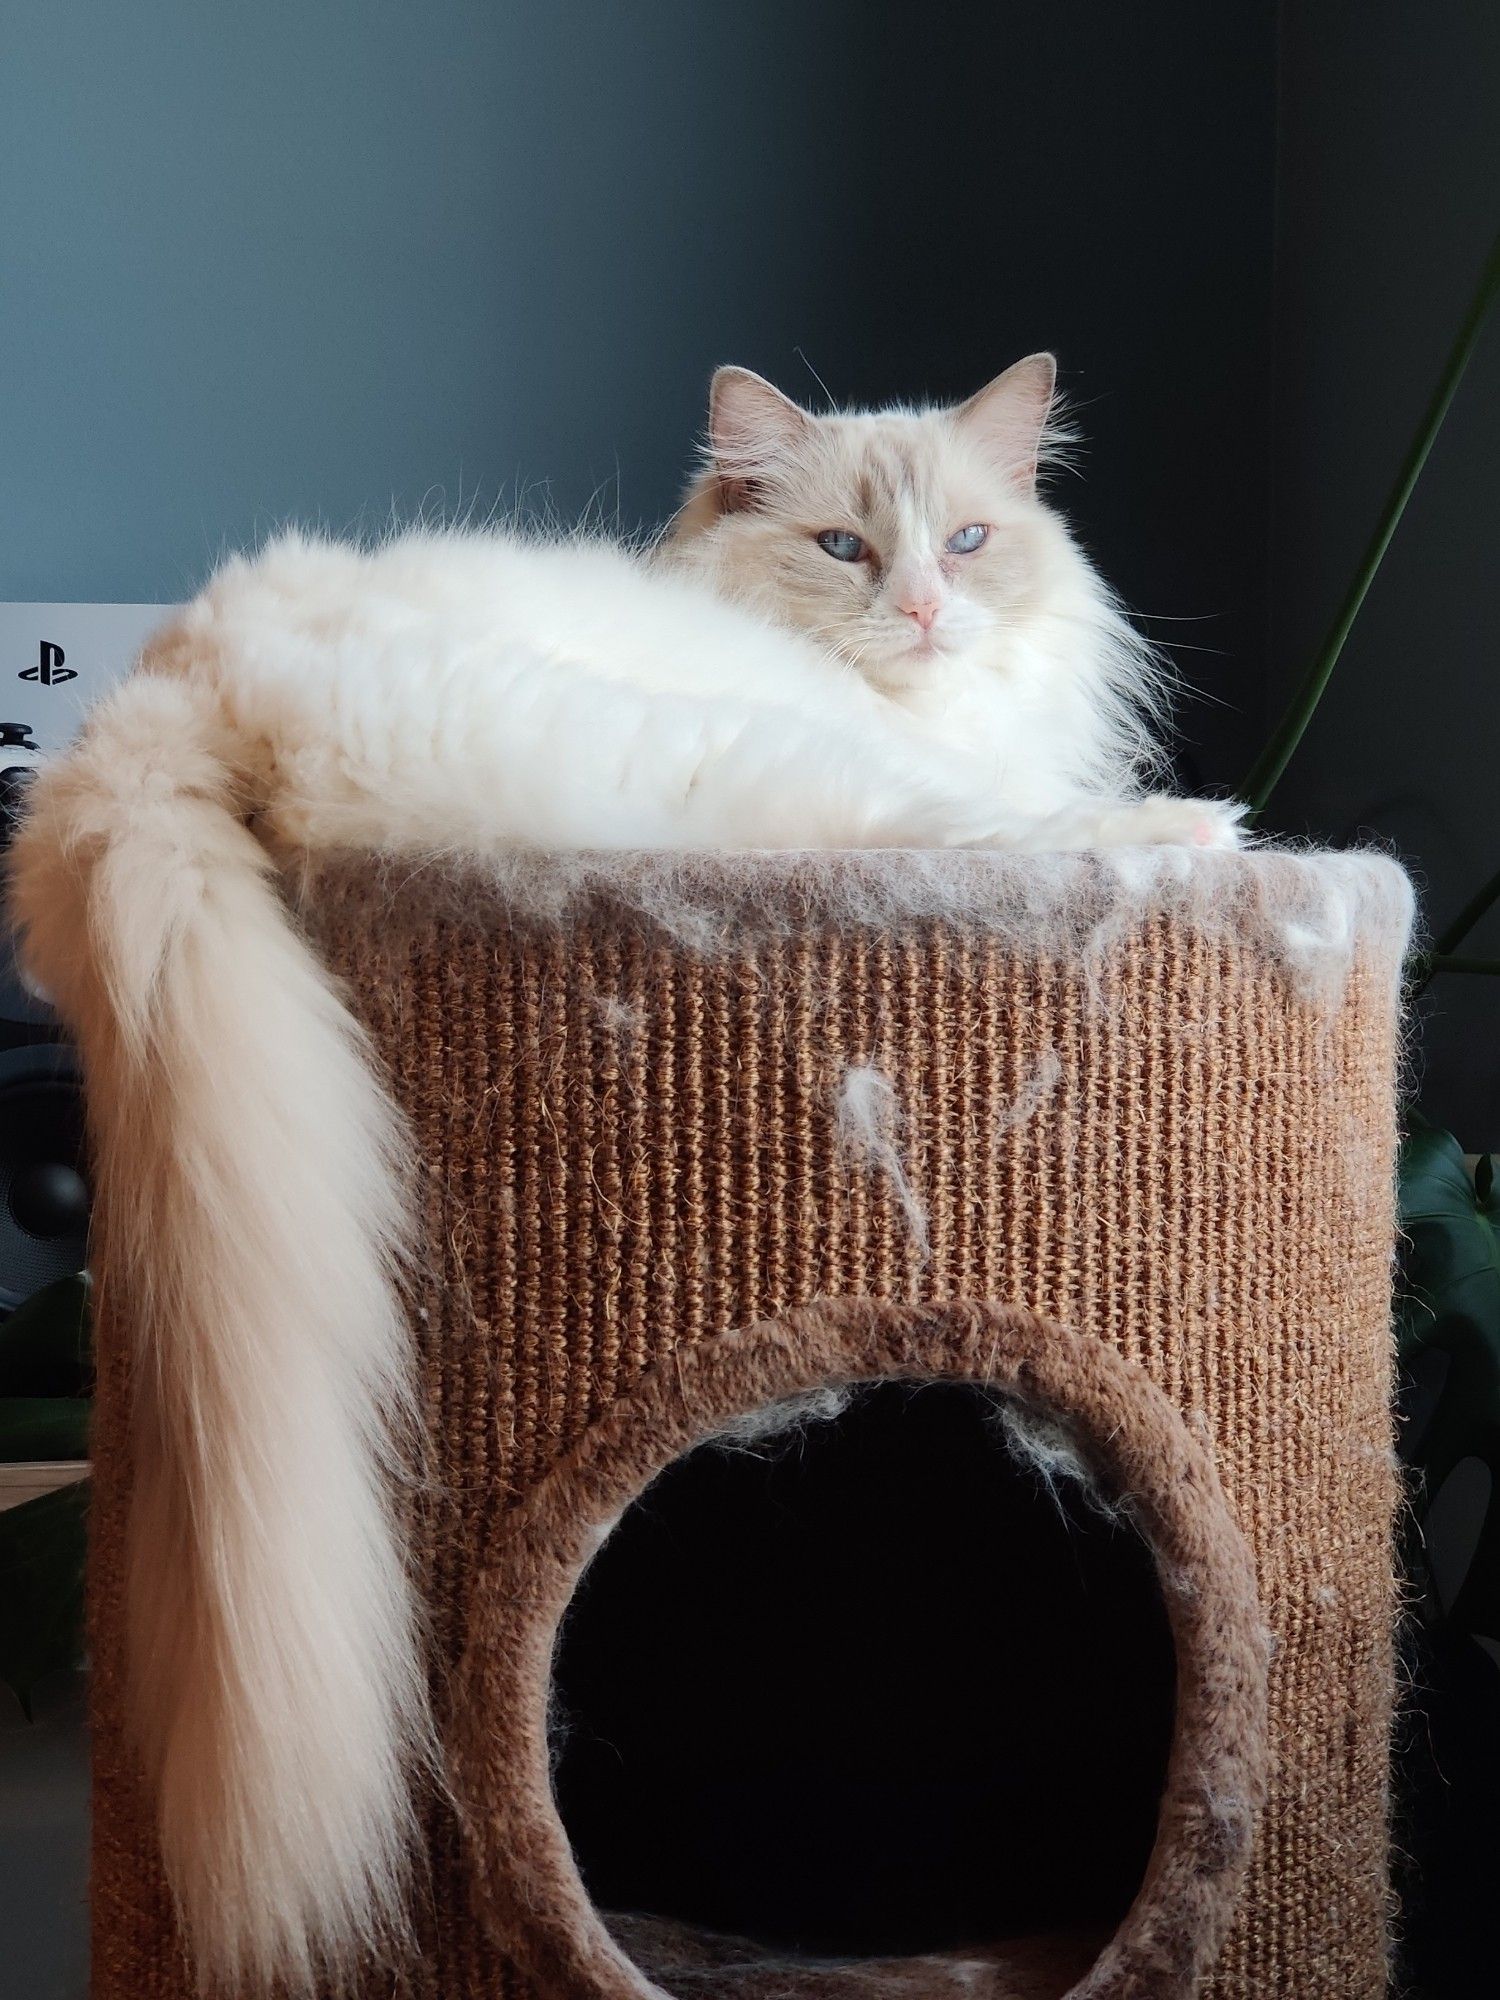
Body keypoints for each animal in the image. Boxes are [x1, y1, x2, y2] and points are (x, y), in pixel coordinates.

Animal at [8, 352, 1248, 1992]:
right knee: (1009, 833)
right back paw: (1200, 830)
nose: (925, 608)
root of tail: (169, 680)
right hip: (735, 770)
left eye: (971, 543)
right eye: (845, 550)